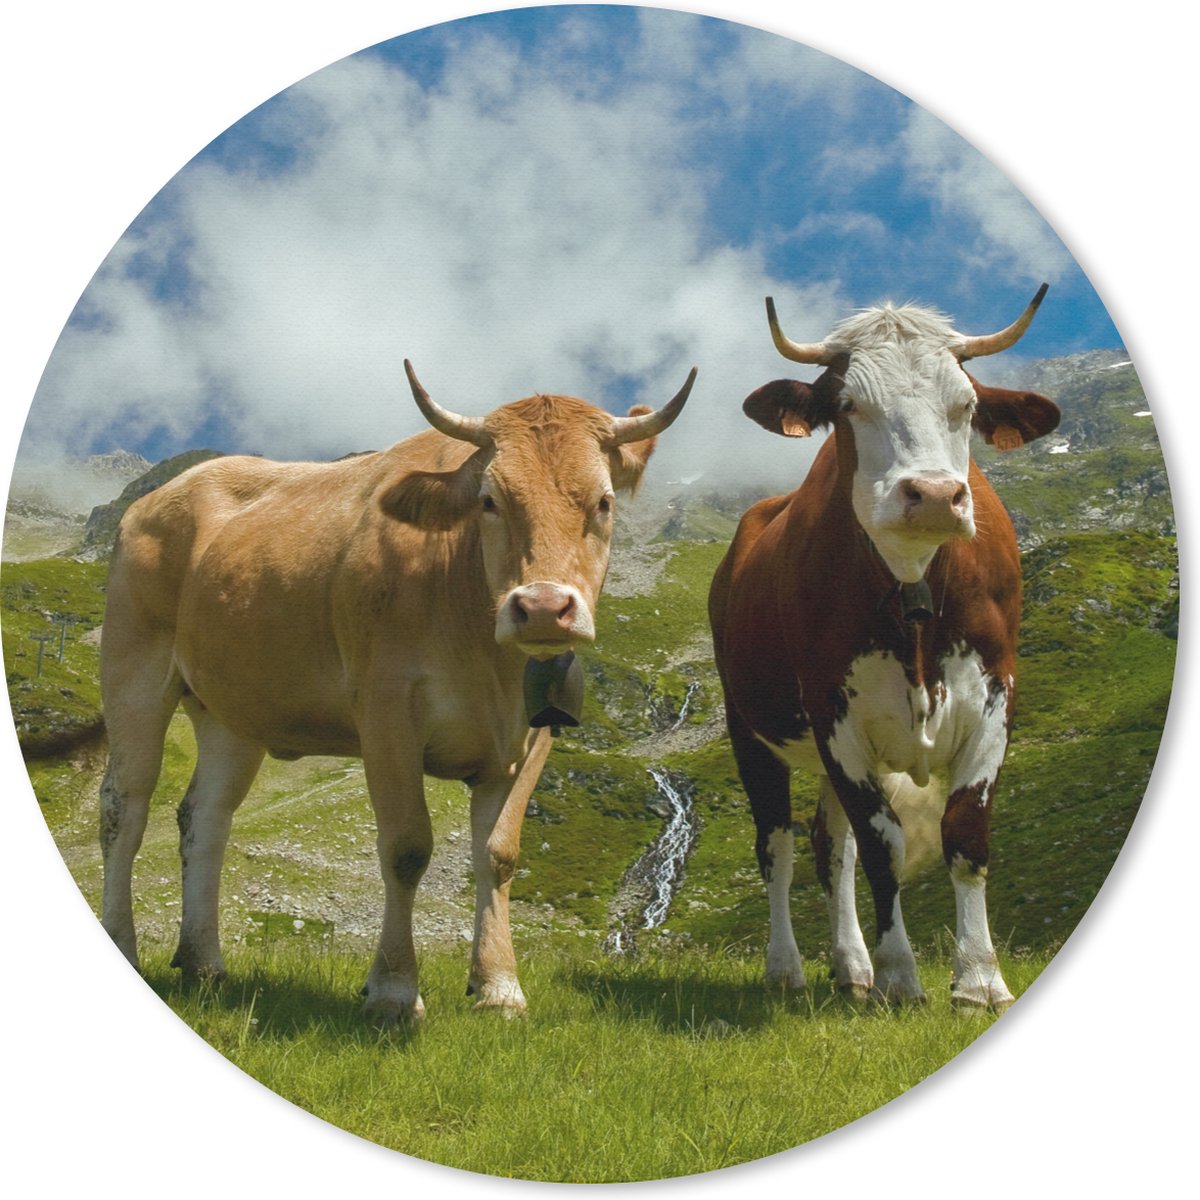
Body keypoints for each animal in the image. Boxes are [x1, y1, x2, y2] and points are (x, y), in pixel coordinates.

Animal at [98, 360, 696, 1025]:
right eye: (490, 501)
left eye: (603, 502)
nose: (543, 608)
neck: (485, 652)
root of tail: (162, 495)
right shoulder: (385, 712)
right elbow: (406, 848)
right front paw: (393, 990)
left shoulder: (533, 736)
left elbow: (499, 855)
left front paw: (498, 986)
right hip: (134, 669)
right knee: (125, 806)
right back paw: (123, 943)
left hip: (231, 710)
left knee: (205, 817)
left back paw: (204, 961)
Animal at [708, 288, 1059, 1010]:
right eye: (849, 405)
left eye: (968, 405)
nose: (933, 496)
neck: (913, 584)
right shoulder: (835, 716)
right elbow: (882, 845)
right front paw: (902, 976)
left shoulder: (995, 697)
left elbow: (965, 832)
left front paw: (979, 979)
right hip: (749, 729)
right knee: (778, 846)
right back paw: (787, 968)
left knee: (829, 846)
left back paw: (851, 967)